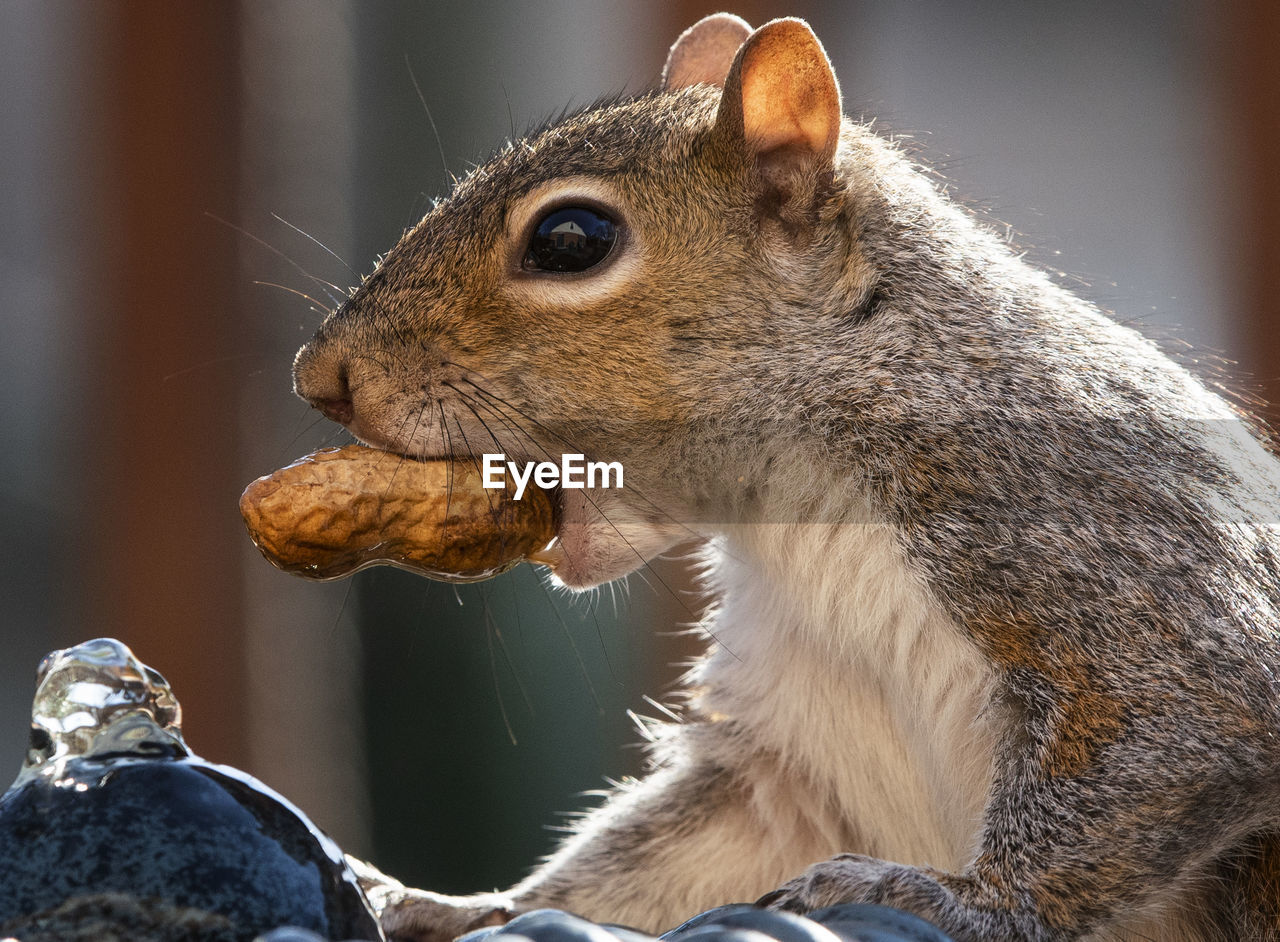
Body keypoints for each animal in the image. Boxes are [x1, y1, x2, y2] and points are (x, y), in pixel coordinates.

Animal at [293, 12, 1280, 941]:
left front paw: (961, 902)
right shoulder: (797, 750)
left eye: (572, 239)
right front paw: (463, 907)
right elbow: (679, 853)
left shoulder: (1095, 527)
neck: (798, 506)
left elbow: (1184, 716)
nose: (320, 380)